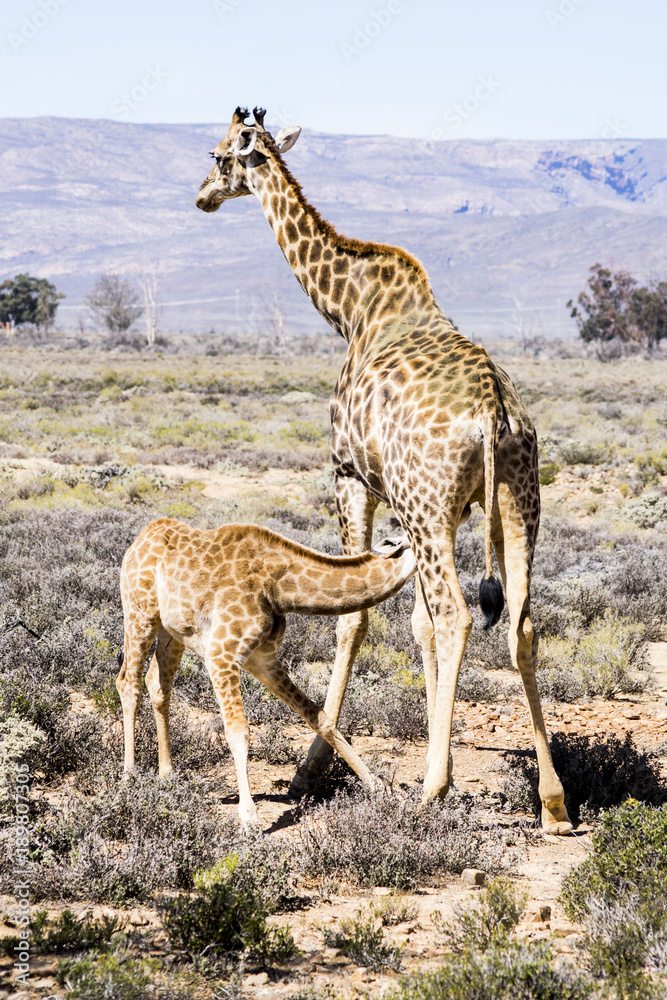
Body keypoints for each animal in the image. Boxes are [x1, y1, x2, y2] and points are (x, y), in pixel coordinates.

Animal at [117, 517, 416, 826]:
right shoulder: (221, 653)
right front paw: (249, 816)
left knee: (157, 684)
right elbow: (238, 730)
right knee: (128, 682)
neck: (279, 588)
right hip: (139, 612)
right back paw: (128, 778)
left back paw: (168, 775)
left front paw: (381, 788)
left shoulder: (263, 659)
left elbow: (320, 718)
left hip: (172, 631)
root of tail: (141, 537)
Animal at [195, 107, 572, 834]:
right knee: (521, 625)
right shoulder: (417, 507)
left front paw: (311, 770)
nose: (200, 196)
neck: (351, 311)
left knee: (459, 617)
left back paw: (433, 791)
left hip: (433, 504)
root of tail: (493, 413)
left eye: (221, 155)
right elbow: (415, 623)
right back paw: (552, 802)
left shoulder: (351, 476)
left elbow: (356, 620)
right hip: (517, 500)